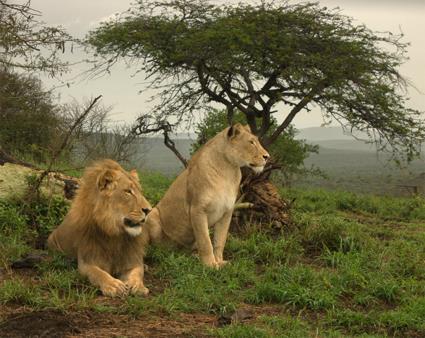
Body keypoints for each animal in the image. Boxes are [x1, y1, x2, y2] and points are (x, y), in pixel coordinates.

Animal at [47, 158, 152, 296]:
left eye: (140, 192)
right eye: (128, 191)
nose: (149, 210)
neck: (115, 233)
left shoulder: (131, 258)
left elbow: (138, 272)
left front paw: (138, 286)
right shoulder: (87, 261)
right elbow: (98, 273)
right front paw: (114, 285)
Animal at [143, 123, 268, 268]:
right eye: (251, 142)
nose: (267, 156)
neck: (228, 171)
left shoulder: (227, 213)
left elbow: (220, 240)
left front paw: (220, 261)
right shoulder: (197, 210)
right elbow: (205, 241)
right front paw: (210, 265)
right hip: (151, 214)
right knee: (153, 246)